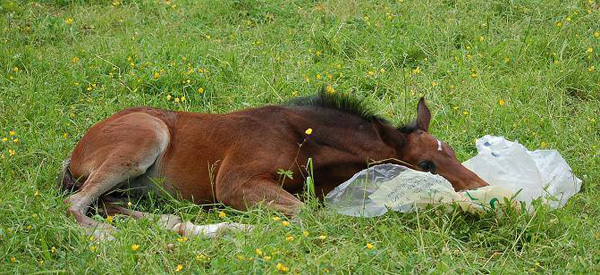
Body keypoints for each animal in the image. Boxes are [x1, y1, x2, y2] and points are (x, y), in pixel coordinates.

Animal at [59, 92, 488, 239]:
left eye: (451, 151)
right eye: (427, 164)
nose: (482, 187)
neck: (302, 140)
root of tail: (76, 152)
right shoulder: (234, 182)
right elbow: (306, 217)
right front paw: (243, 228)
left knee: (108, 205)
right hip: (145, 138)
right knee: (74, 204)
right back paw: (106, 237)